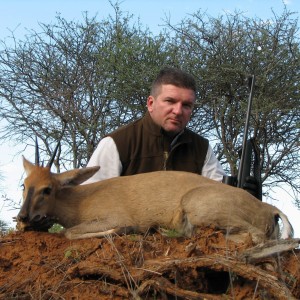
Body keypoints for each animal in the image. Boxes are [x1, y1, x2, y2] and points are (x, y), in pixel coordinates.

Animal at [16, 157, 292, 244]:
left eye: (48, 189)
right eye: (24, 185)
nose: (23, 217)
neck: (79, 200)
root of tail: (268, 208)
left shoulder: (113, 217)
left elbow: (69, 233)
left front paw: (125, 231)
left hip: (197, 207)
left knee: (255, 236)